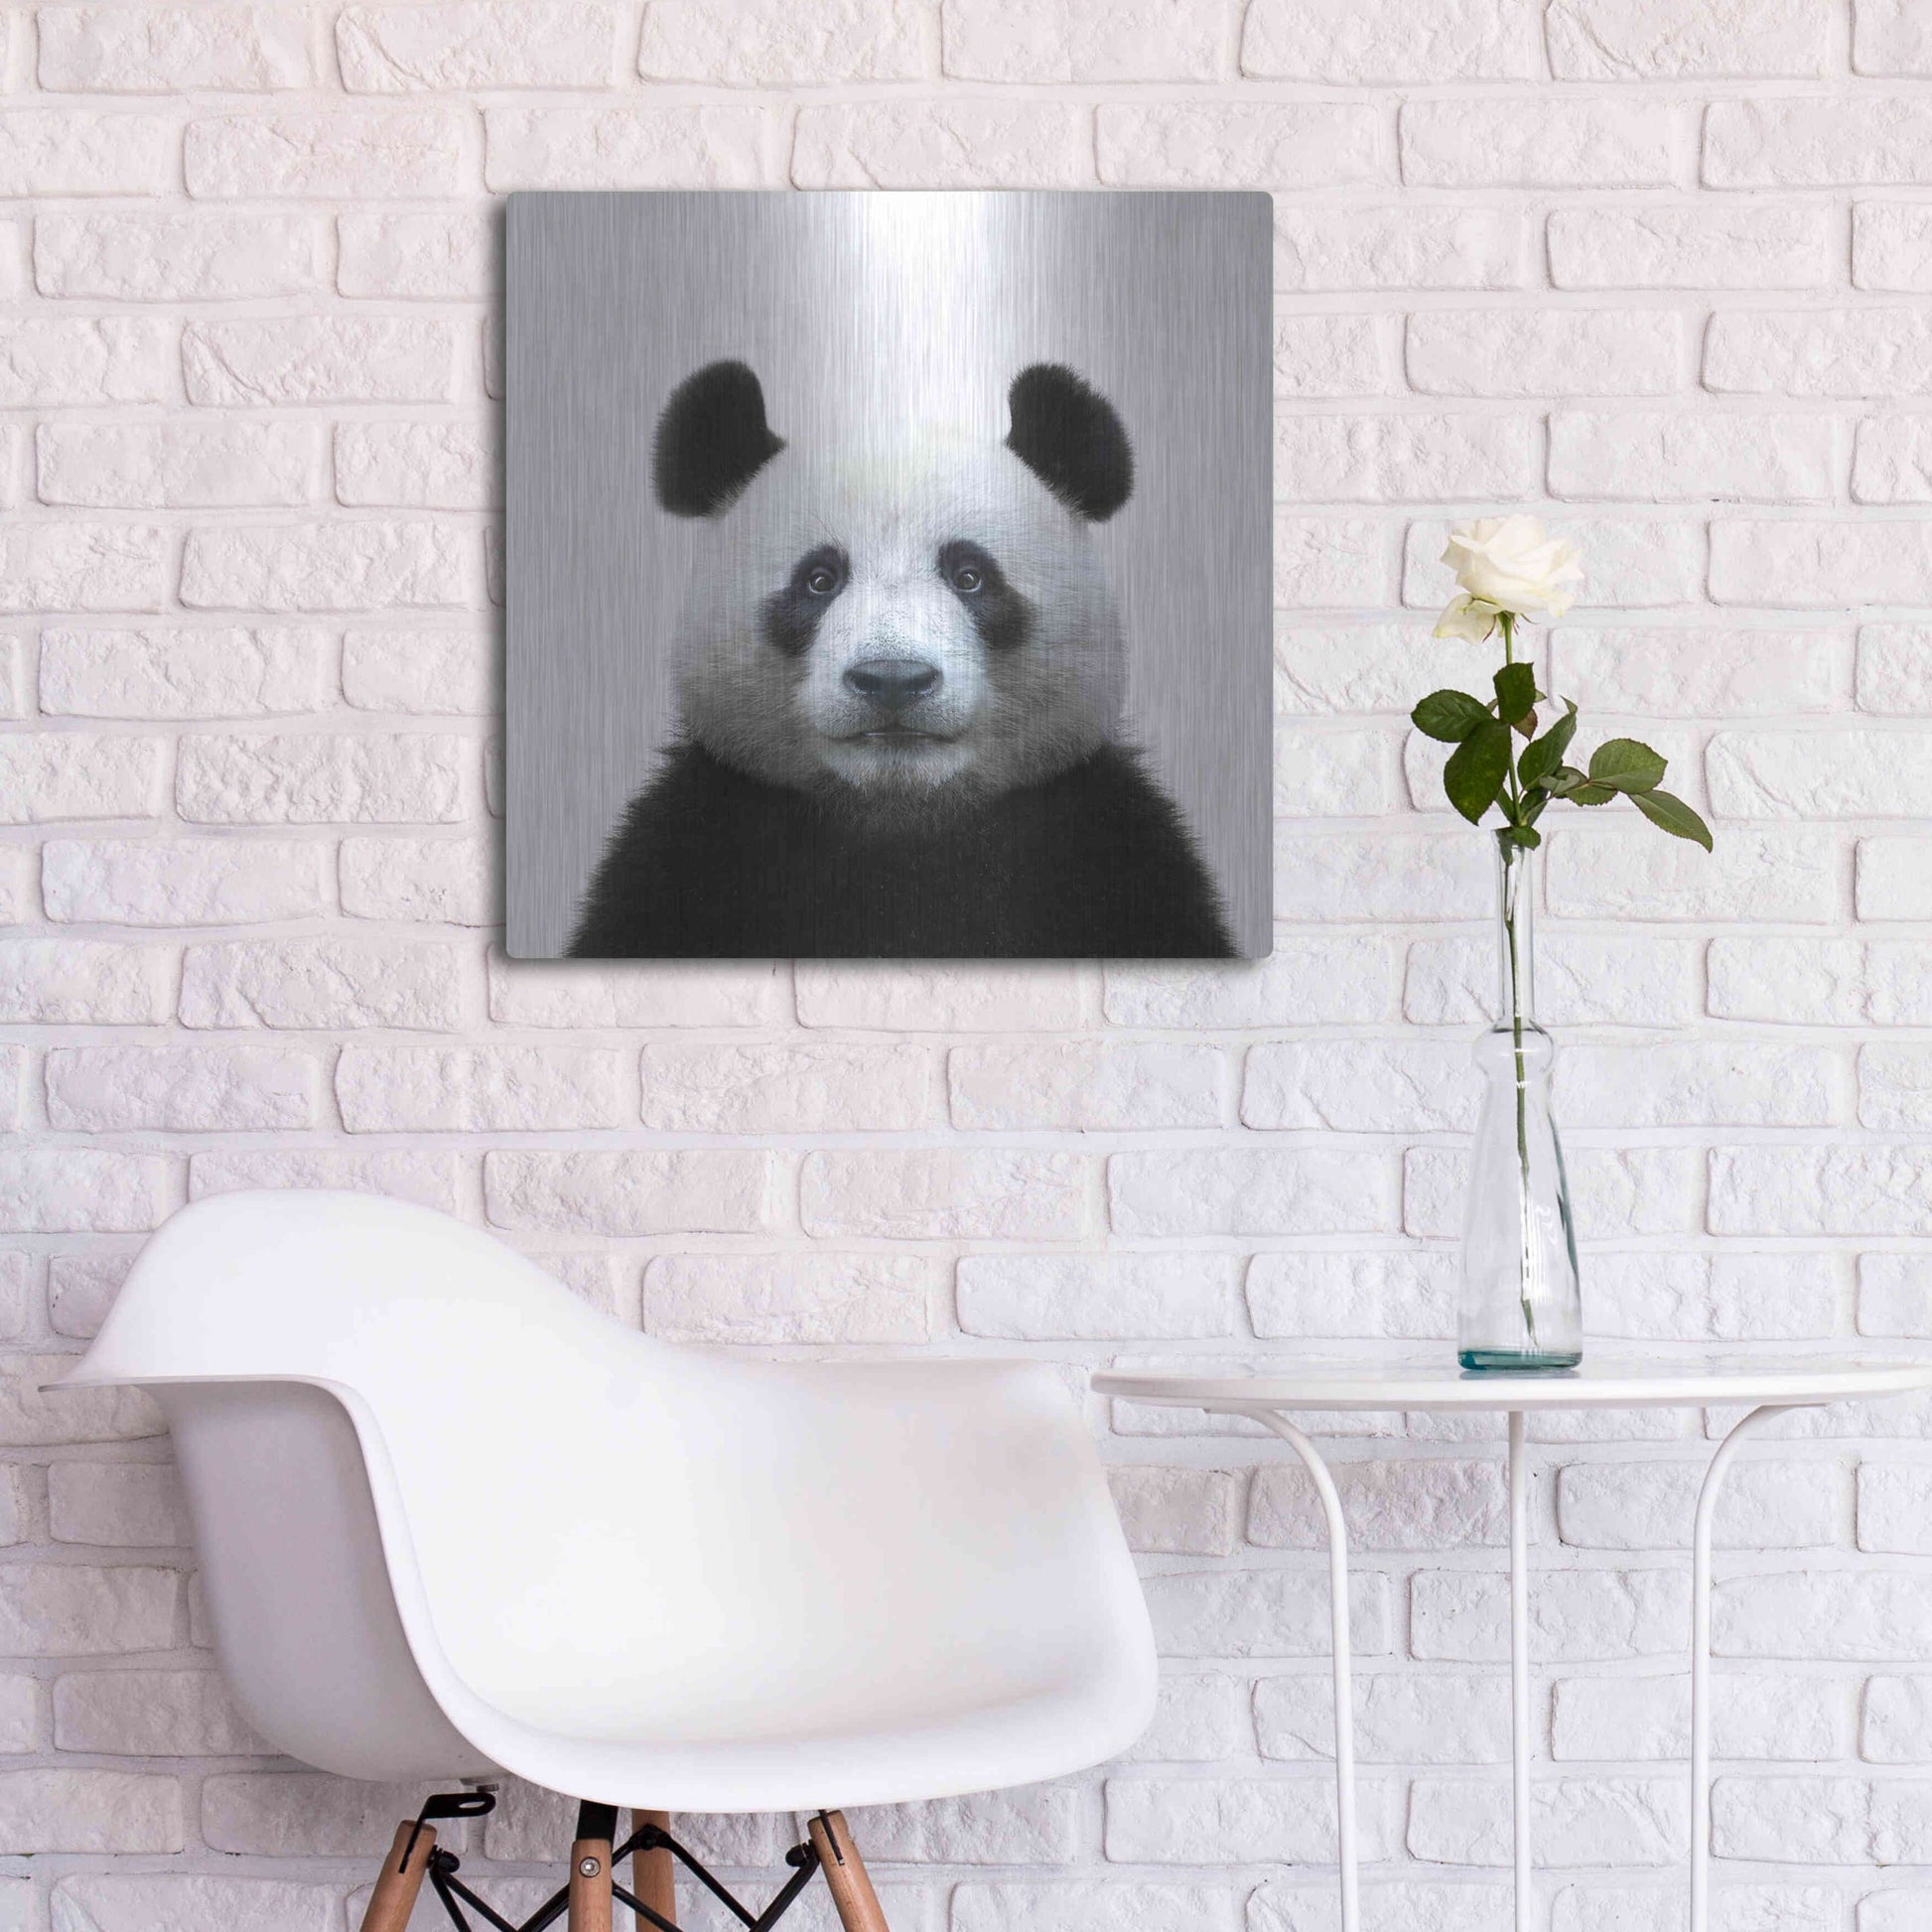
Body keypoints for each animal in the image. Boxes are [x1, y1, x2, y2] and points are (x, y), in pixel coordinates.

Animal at [567, 359, 1235, 960]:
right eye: (819, 579)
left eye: (970, 576)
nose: (892, 680)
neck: (901, 823)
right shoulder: (690, 851)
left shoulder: (1111, 851)